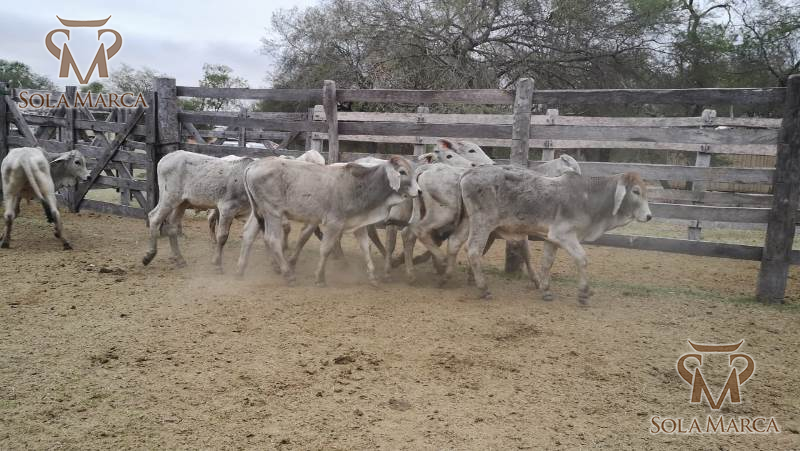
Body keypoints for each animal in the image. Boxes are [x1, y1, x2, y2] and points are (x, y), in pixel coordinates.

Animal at [235, 156, 419, 286]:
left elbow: (366, 248)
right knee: (272, 239)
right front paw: (320, 277)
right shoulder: (334, 223)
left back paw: (241, 269)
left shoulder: (359, 224)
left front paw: (372, 277)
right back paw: (288, 275)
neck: (359, 185)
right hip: (273, 212)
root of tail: (254, 165)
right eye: (402, 172)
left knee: (248, 234)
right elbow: (326, 249)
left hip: (259, 212)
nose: (419, 191)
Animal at [442, 167, 652, 303]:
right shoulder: (564, 235)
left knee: (454, 243)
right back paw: (483, 288)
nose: (649, 216)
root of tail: (467, 173)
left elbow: (546, 263)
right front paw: (583, 293)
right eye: (635, 191)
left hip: (468, 222)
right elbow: (582, 259)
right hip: (483, 224)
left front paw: (546, 290)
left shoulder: (551, 239)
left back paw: (446, 276)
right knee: (473, 251)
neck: (587, 197)